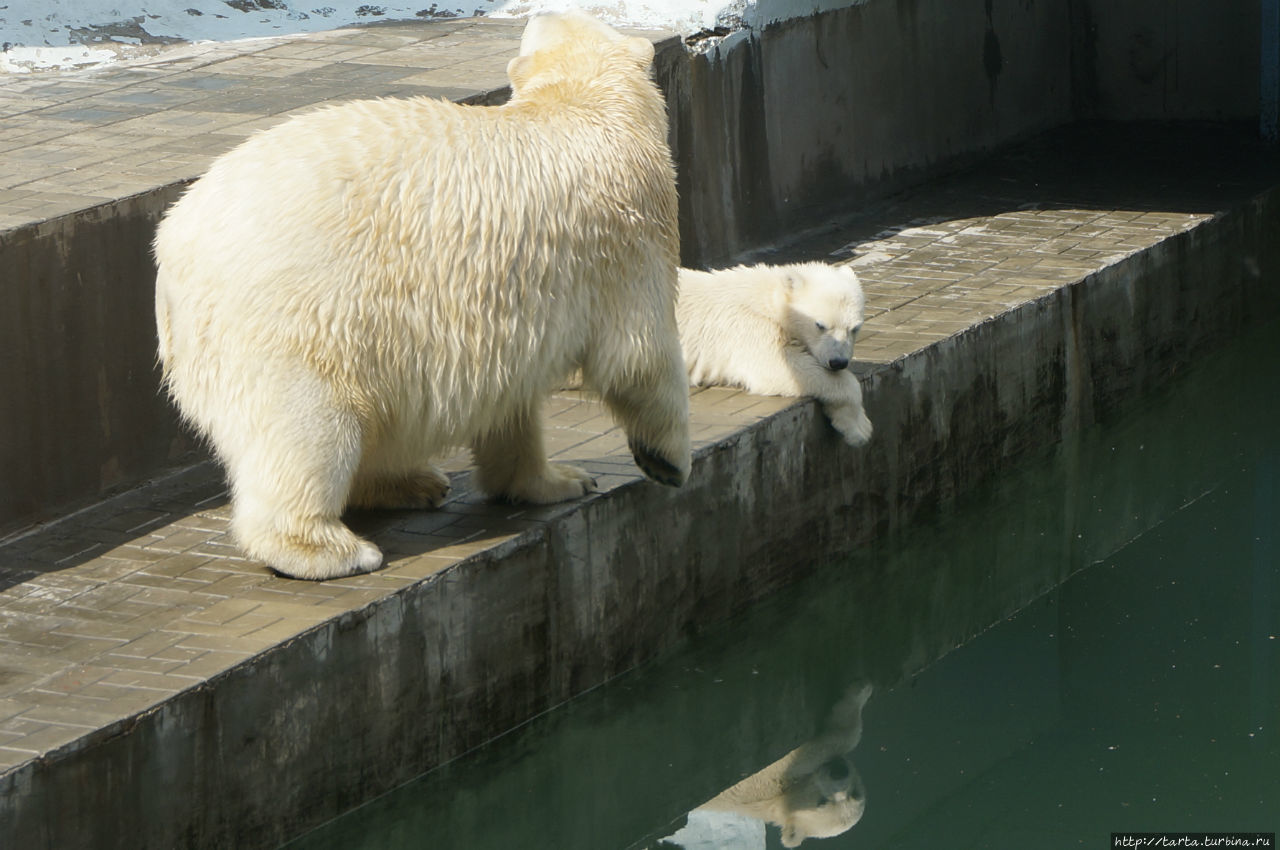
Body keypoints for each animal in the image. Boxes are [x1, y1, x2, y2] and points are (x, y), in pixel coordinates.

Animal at [152, 13, 691, 581]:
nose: (535, 11)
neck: (581, 104)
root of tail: (173, 246)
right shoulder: (630, 232)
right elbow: (639, 354)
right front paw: (667, 461)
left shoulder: (514, 307)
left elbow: (511, 403)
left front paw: (556, 480)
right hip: (295, 316)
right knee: (308, 427)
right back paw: (332, 549)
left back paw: (415, 483)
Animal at [680, 262, 870, 448]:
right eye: (820, 325)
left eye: (855, 328)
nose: (838, 362)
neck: (768, 300)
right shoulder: (749, 327)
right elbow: (776, 368)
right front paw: (860, 428)